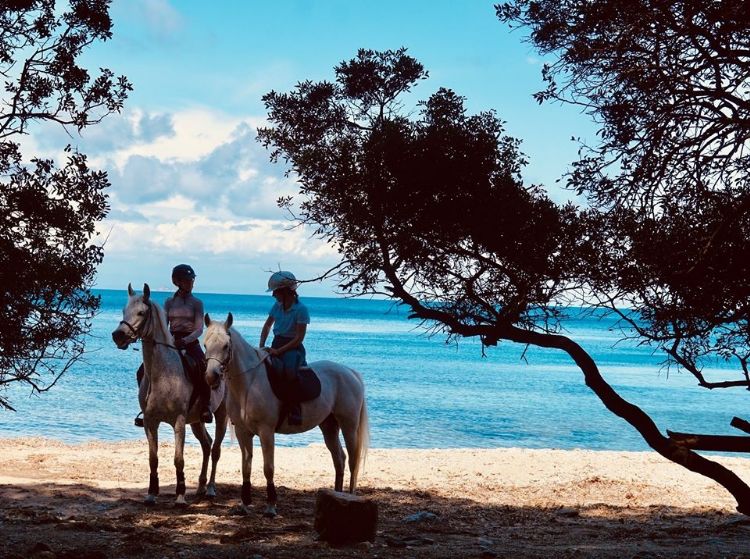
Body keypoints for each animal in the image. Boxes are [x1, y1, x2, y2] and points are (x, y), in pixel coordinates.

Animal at [111, 284, 229, 508]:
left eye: (141, 312)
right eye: (123, 310)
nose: (118, 336)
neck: (163, 374)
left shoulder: (179, 421)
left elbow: (178, 459)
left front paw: (180, 496)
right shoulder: (150, 421)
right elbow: (153, 459)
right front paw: (151, 494)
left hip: (221, 415)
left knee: (216, 449)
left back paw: (210, 489)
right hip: (197, 421)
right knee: (207, 444)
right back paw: (200, 487)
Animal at [204, 312, 372, 520]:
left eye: (226, 345)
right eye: (205, 344)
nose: (211, 376)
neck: (249, 383)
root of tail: (350, 372)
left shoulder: (266, 432)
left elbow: (268, 468)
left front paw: (270, 507)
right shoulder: (243, 432)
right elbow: (246, 467)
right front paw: (244, 504)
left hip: (349, 425)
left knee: (353, 460)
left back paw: (349, 496)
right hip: (329, 426)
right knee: (339, 458)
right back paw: (337, 496)